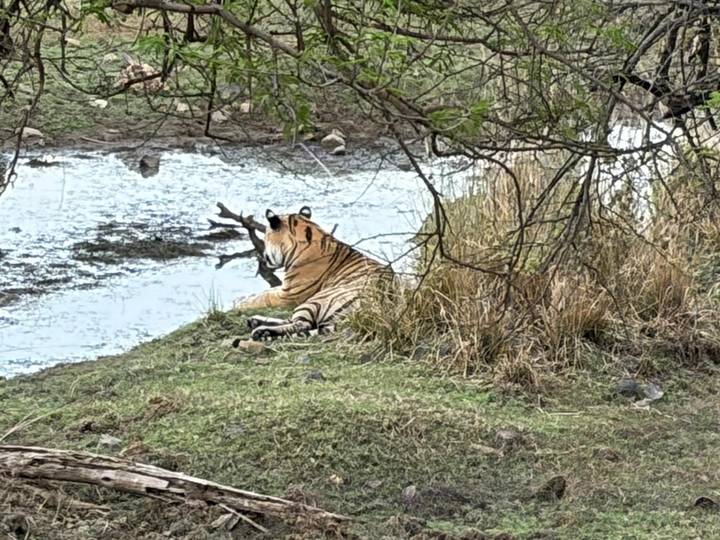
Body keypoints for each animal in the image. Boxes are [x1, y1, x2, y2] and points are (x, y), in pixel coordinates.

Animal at [234, 206, 391, 341]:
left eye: (266, 237)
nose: (264, 256)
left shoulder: (288, 295)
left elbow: (263, 298)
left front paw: (239, 303)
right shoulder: (285, 288)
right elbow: (266, 291)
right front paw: (241, 299)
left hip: (317, 300)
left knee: (301, 324)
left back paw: (261, 331)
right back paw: (255, 321)